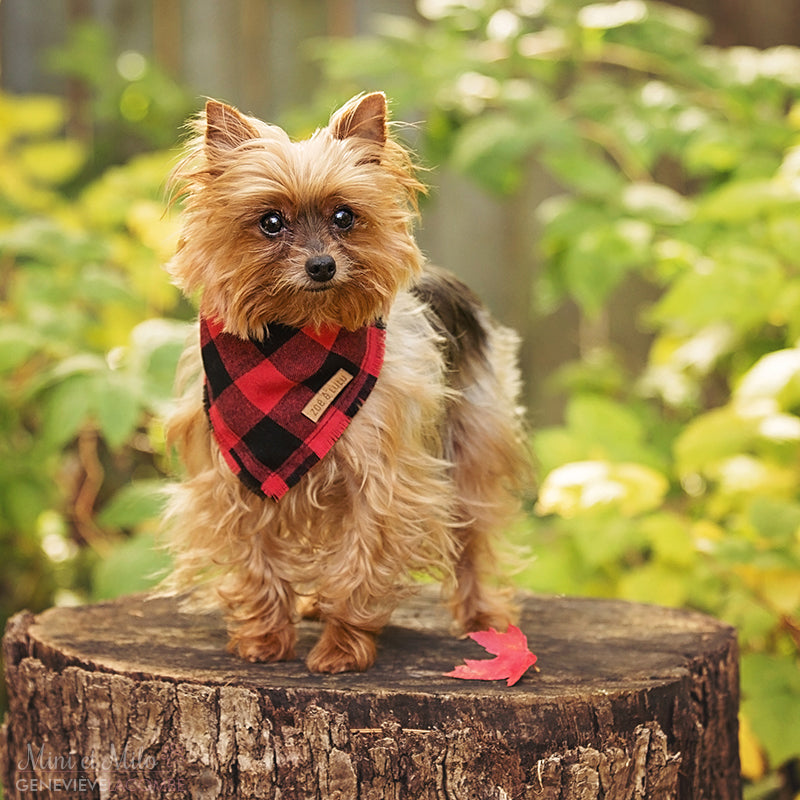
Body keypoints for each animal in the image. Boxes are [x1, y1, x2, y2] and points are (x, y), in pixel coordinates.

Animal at [165, 90, 528, 672]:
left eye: (344, 216)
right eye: (270, 222)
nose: (321, 266)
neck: (295, 341)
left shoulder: (383, 479)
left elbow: (362, 562)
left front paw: (341, 646)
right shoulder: (234, 475)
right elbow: (257, 558)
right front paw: (265, 639)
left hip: (473, 441)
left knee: (469, 536)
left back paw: (480, 618)